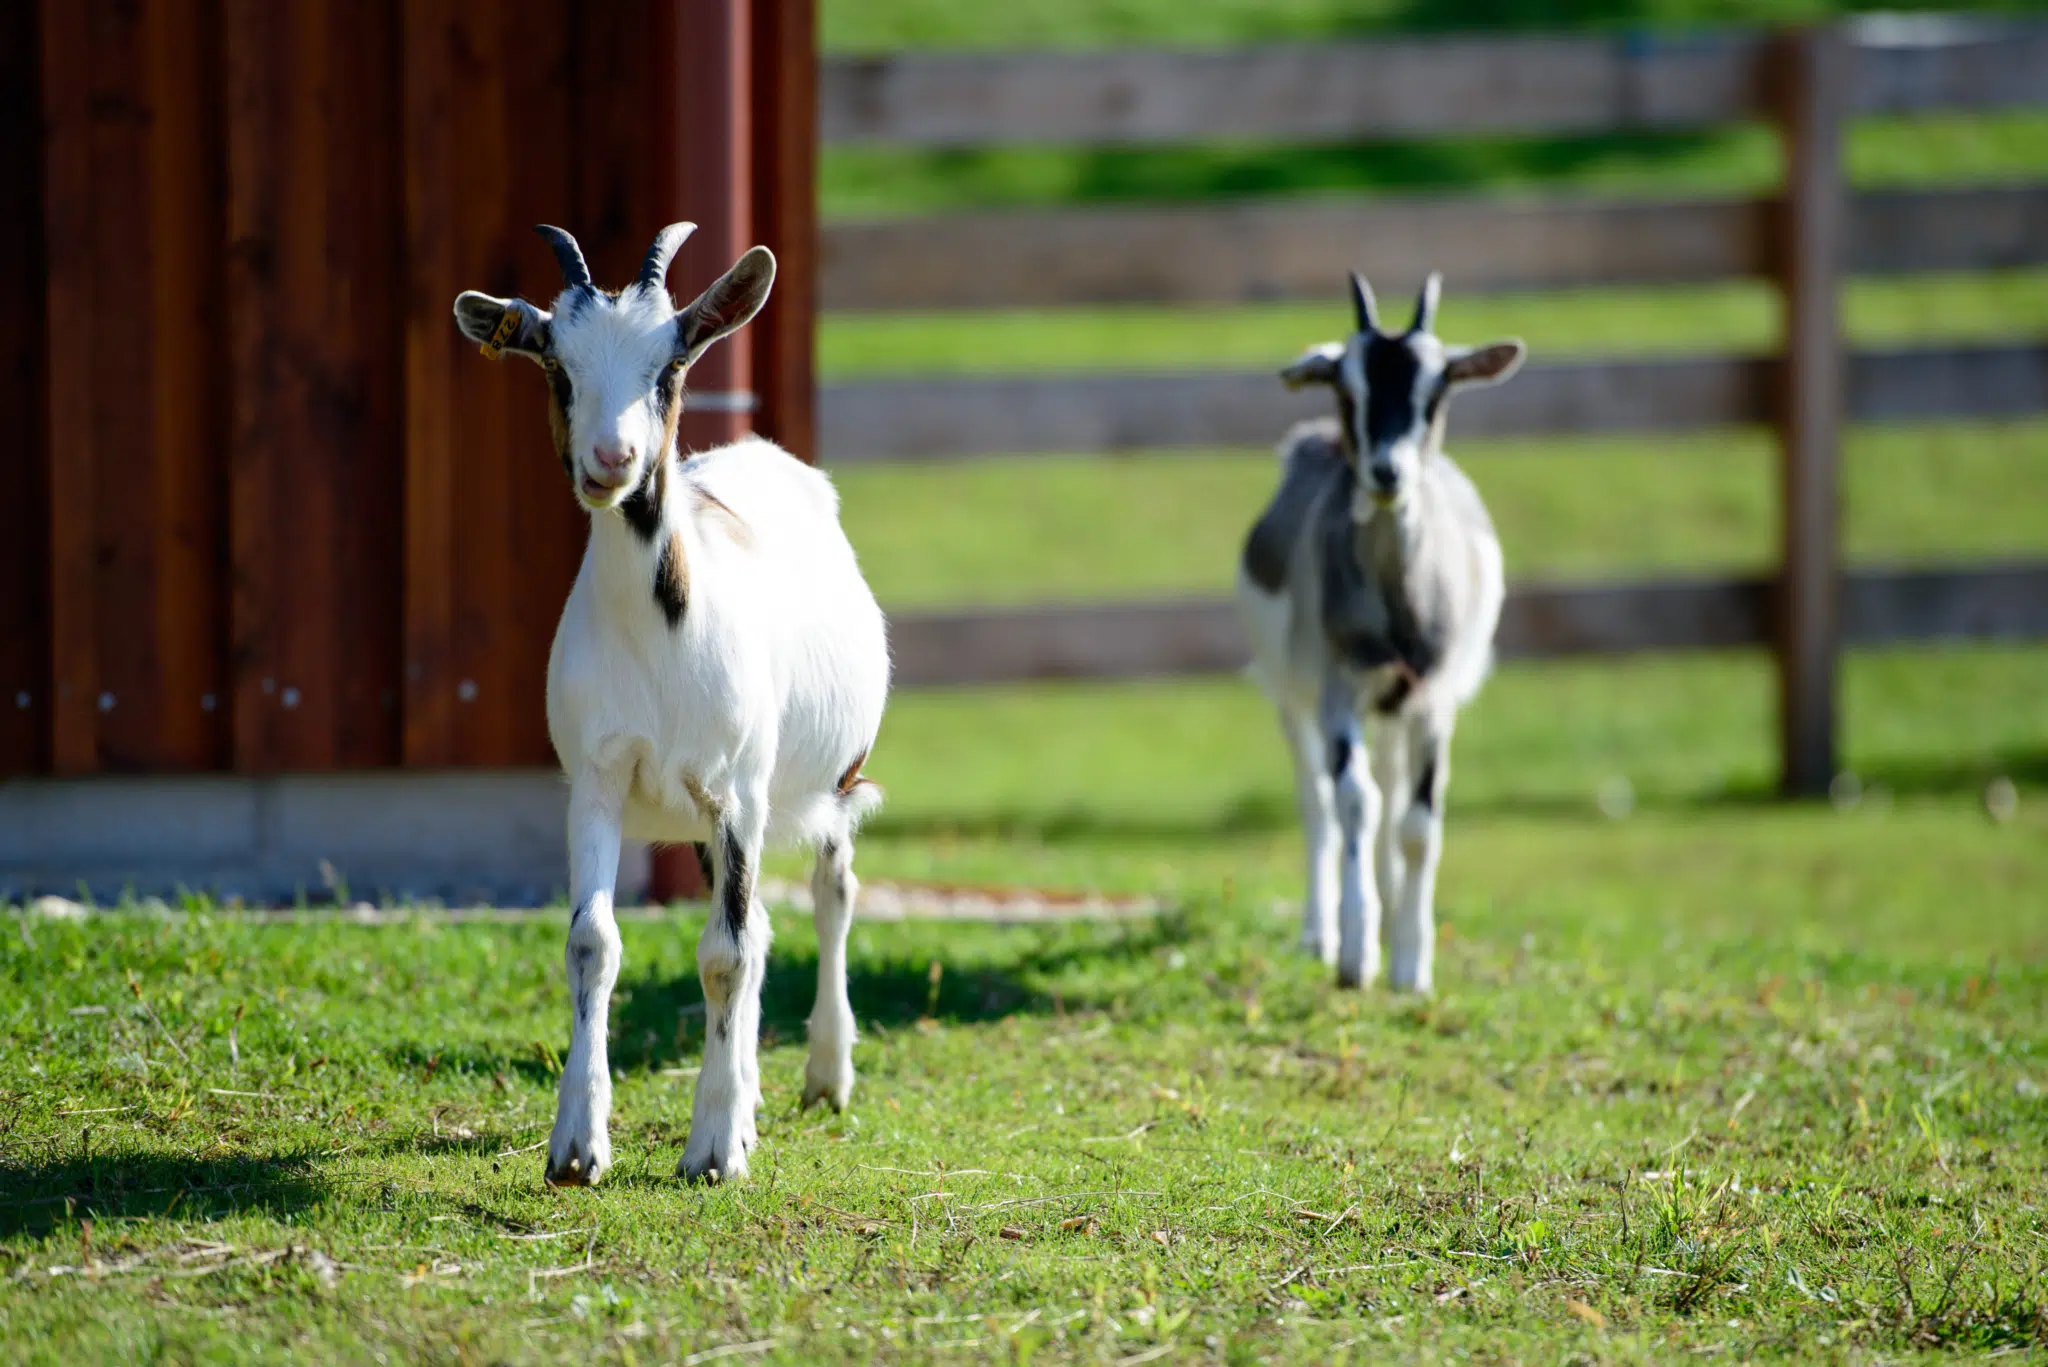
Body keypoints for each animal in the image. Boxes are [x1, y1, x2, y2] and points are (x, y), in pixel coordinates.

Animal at [456, 224, 888, 1188]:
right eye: (558, 366)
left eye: (669, 366)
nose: (611, 461)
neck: (658, 639)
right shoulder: (598, 779)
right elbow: (595, 942)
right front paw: (578, 1144)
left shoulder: (737, 791)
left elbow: (723, 953)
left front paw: (714, 1150)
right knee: (762, 923)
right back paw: (757, 1094)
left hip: (825, 779)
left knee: (830, 889)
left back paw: (825, 1075)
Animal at [1228, 270, 1523, 996]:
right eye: (1346, 387)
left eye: (1436, 390)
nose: (1387, 472)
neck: (1397, 607)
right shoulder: (1338, 688)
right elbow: (1353, 803)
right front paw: (1357, 956)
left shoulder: (1433, 700)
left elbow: (1416, 823)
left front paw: (1412, 966)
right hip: (1292, 693)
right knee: (1319, 803)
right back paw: (1322, 932)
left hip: (1395, 710)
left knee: (1391, 797)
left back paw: (1391, 913)